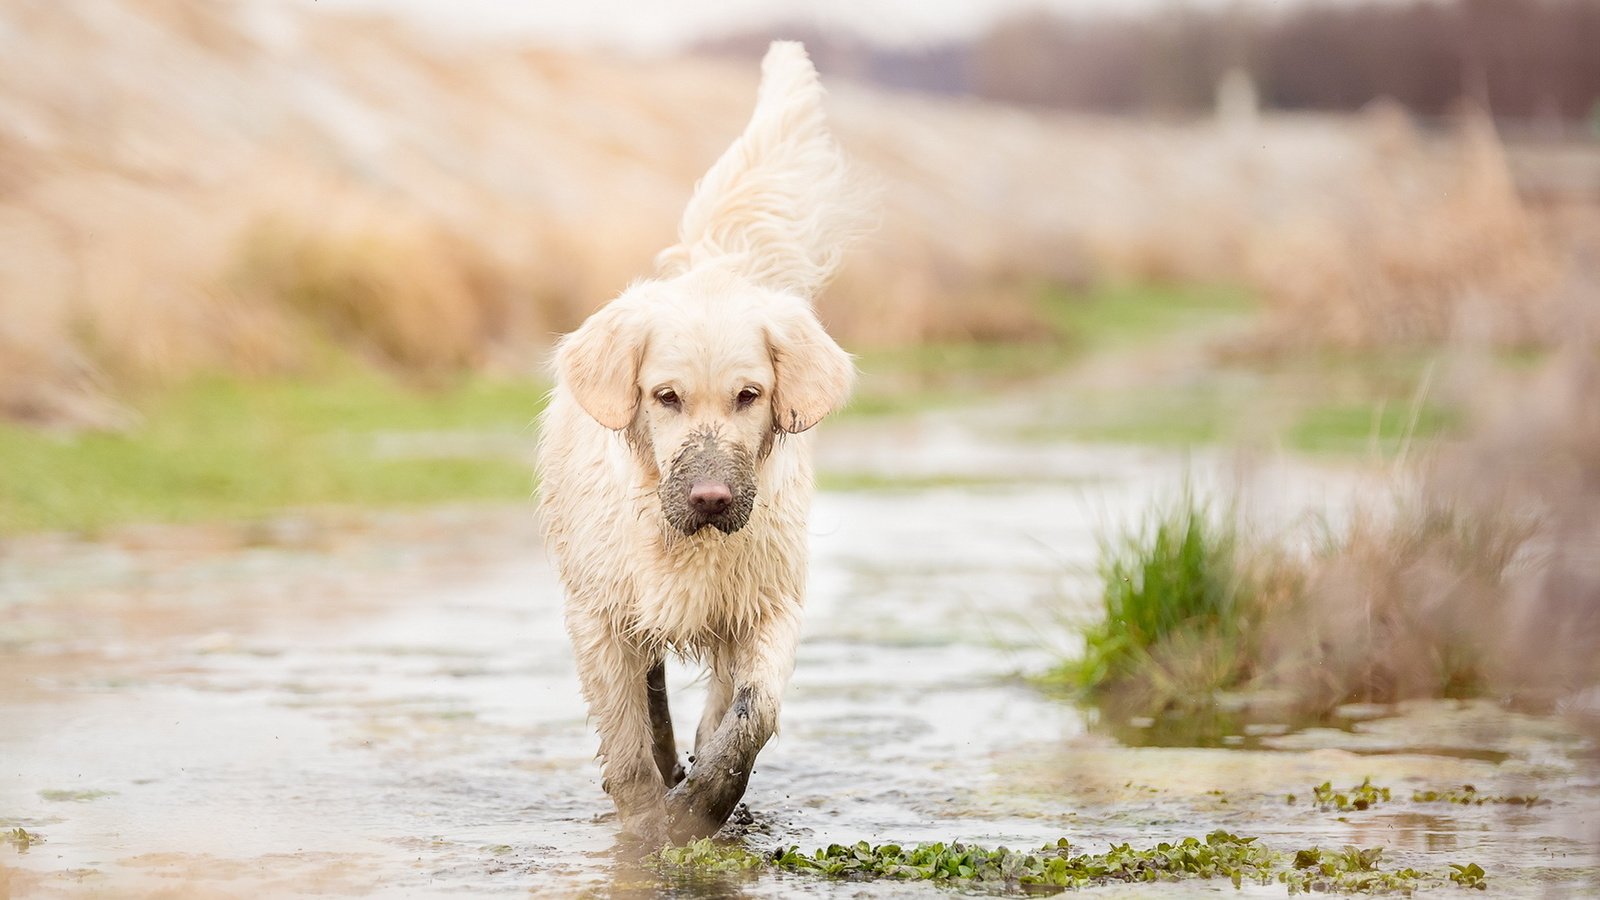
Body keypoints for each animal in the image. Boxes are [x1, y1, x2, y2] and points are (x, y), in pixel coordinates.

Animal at [534, 42, 864, 839]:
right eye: (666, 397)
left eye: (750, 396)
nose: (712, 498)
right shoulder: (599, 615)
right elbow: (627, 747)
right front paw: (648, 830)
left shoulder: (767, 604)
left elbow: (748, 715)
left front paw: (703, 806)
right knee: (650, 697)